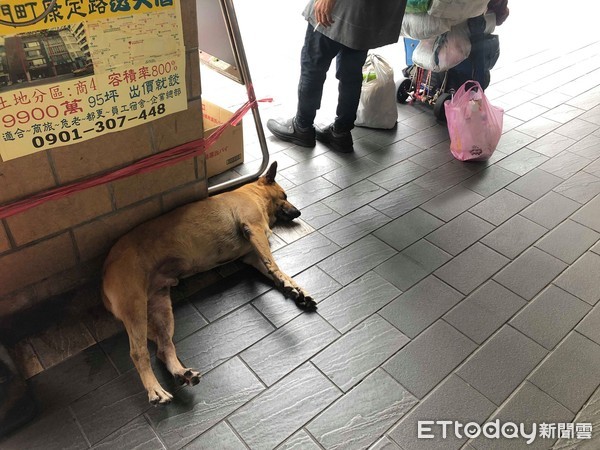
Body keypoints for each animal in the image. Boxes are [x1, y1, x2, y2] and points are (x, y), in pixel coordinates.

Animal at [101, 162, 314, 404]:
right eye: (285, 195)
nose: (298, 212)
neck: (253, 194)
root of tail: (104, 270)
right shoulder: (254, 229)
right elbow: (274, 264)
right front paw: (284, 280)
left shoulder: (252, 256)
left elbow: (280, 271)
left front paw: (295, 287)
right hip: (135, 307)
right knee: (139, 353)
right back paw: (154, 389)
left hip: (160, 307)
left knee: (163, 348)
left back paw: (181, 373)